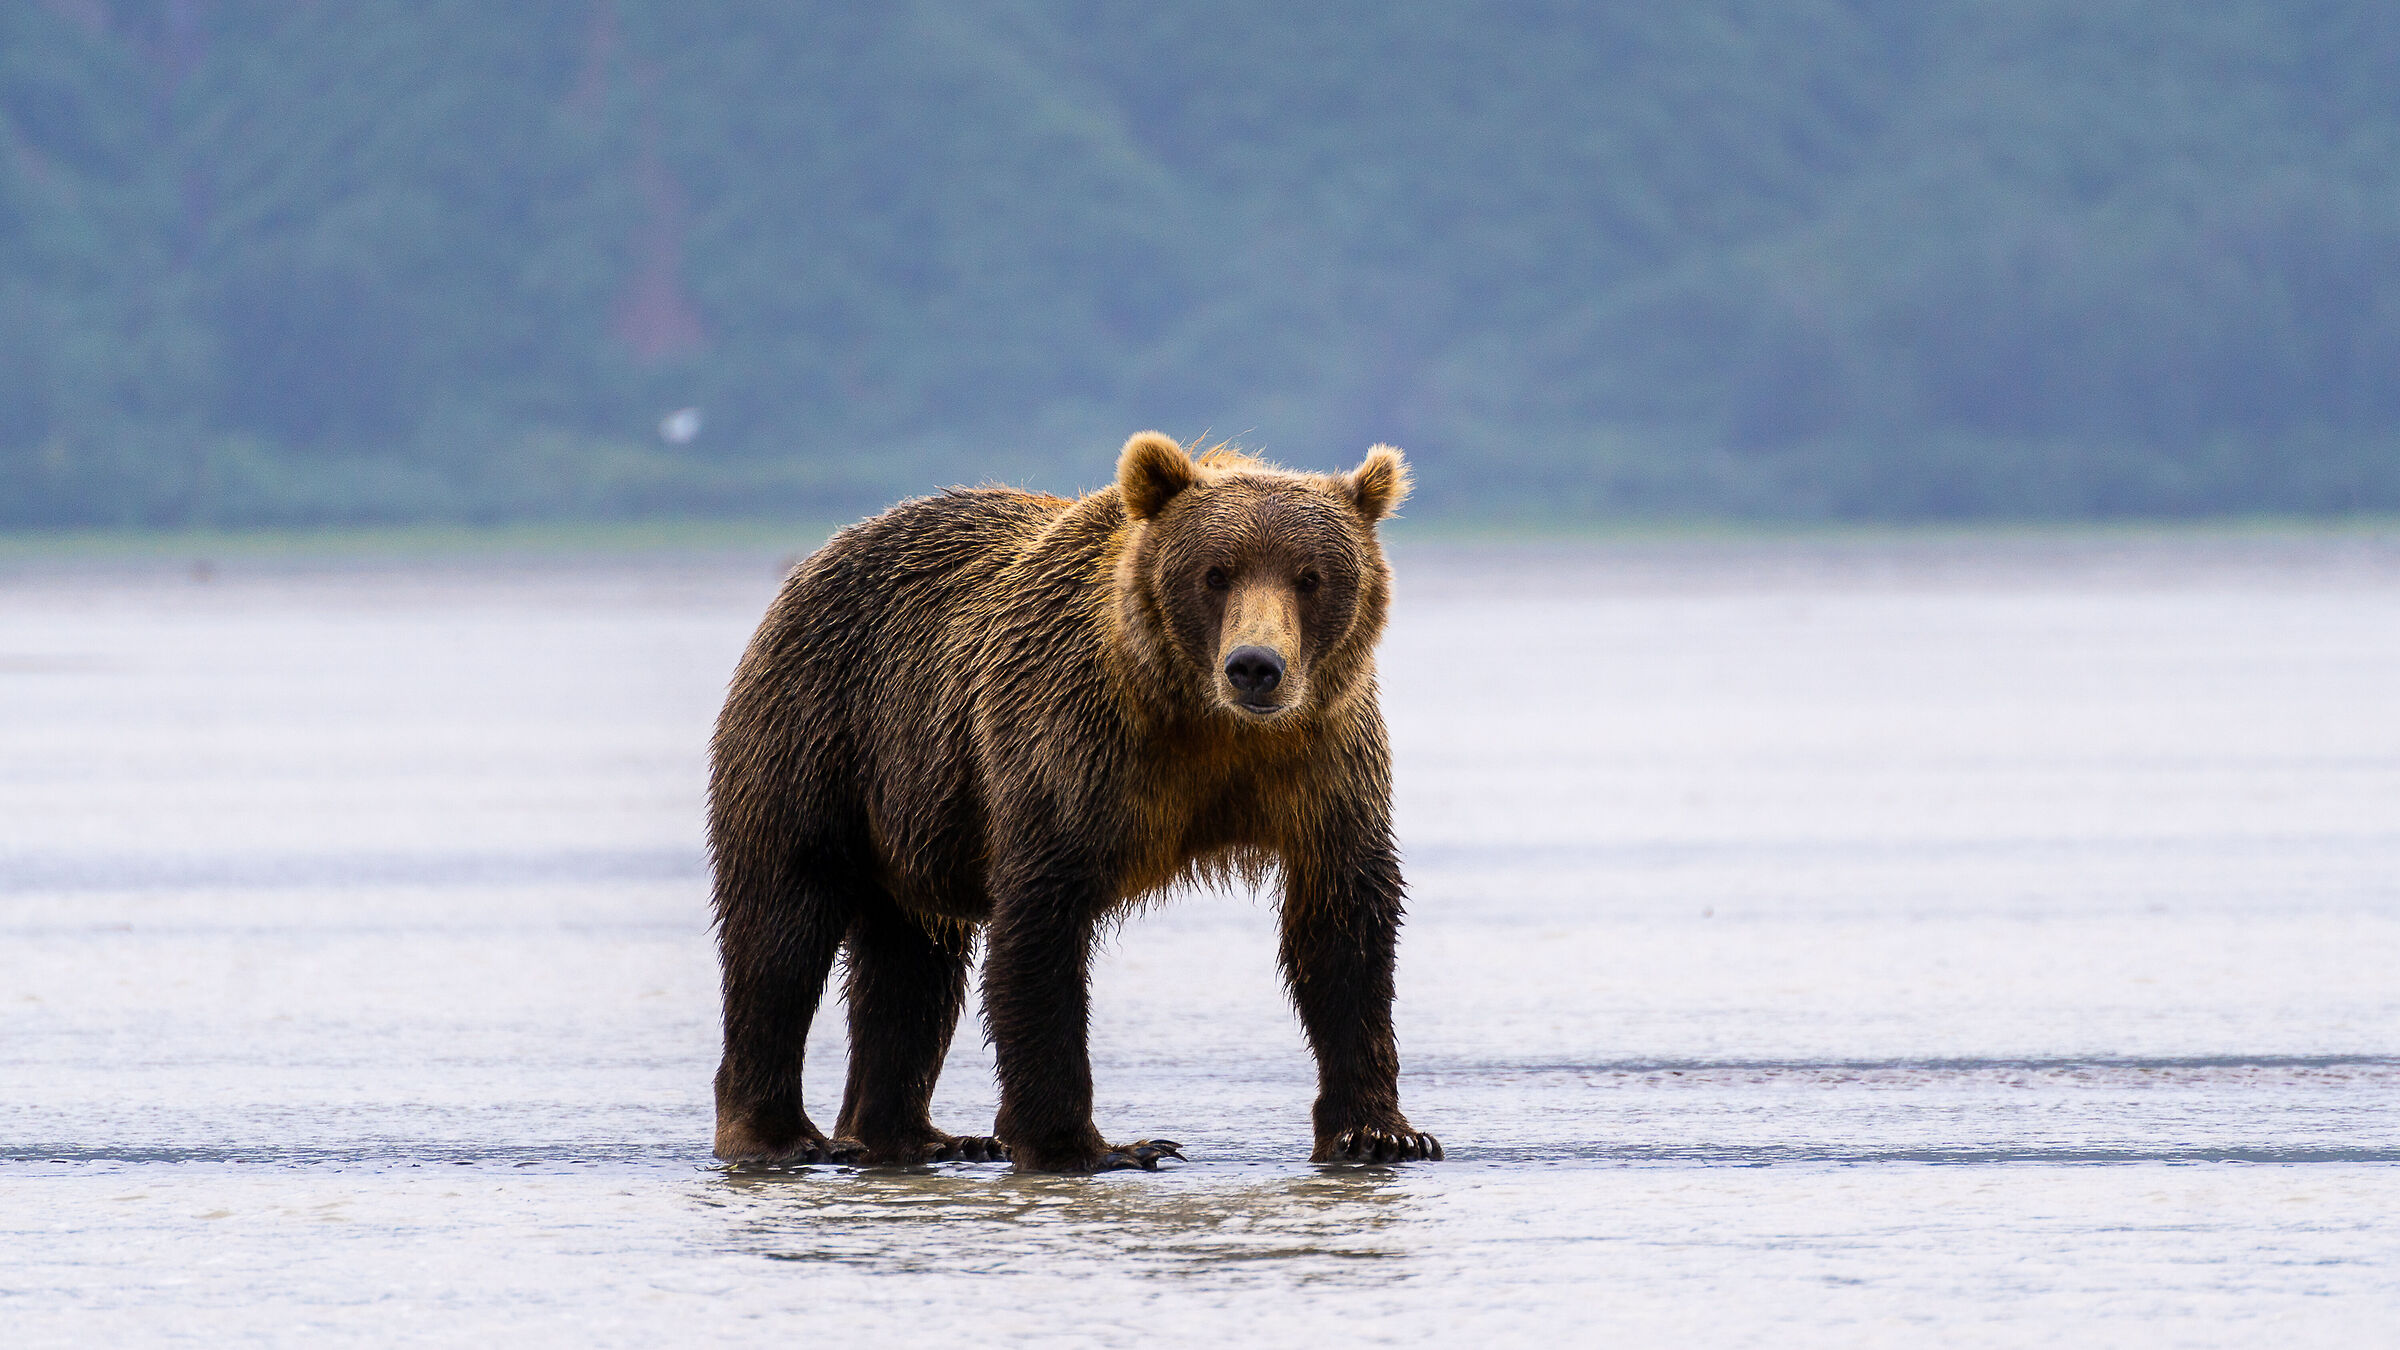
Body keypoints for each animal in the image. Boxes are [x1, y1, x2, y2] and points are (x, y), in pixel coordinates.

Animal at [707, 432, 1441, 1173]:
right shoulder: (1072, 744)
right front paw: (1094, 1145)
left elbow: (1344, 928)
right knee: (783, 928)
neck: (1204, 722)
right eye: (1215, 573)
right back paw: (782, 1135)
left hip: (911, 812)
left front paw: (1381, 1132)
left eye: (1310, 576)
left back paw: (914, 1136)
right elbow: (1042, 927)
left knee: (913, 965)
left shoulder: (1322, 763)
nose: (1255, 666)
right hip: (820, 734)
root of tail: (819, 557)